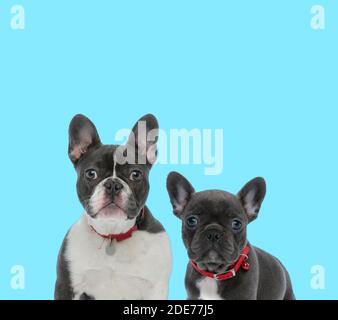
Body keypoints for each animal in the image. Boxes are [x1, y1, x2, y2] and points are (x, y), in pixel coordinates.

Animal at [56, 114, 172, 300]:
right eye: (91, 173)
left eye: (135, 174)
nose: (113, 184)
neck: (113, 233)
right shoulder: (67, 287)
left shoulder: (156, 288)